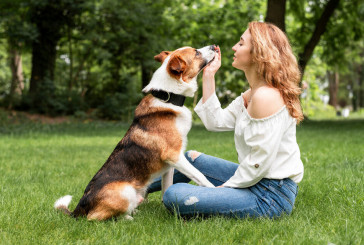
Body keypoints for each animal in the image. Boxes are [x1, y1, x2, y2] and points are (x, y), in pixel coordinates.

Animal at [53, 45, 216, 221]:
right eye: (196, 52)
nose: (214, 46)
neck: (168, 97)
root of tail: (79, 209)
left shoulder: (170, 165)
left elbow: (167, 188)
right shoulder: (174, 156)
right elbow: (201, 176)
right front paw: (217, 189)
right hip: (125, 192)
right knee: (95, 217)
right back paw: (128, 219)